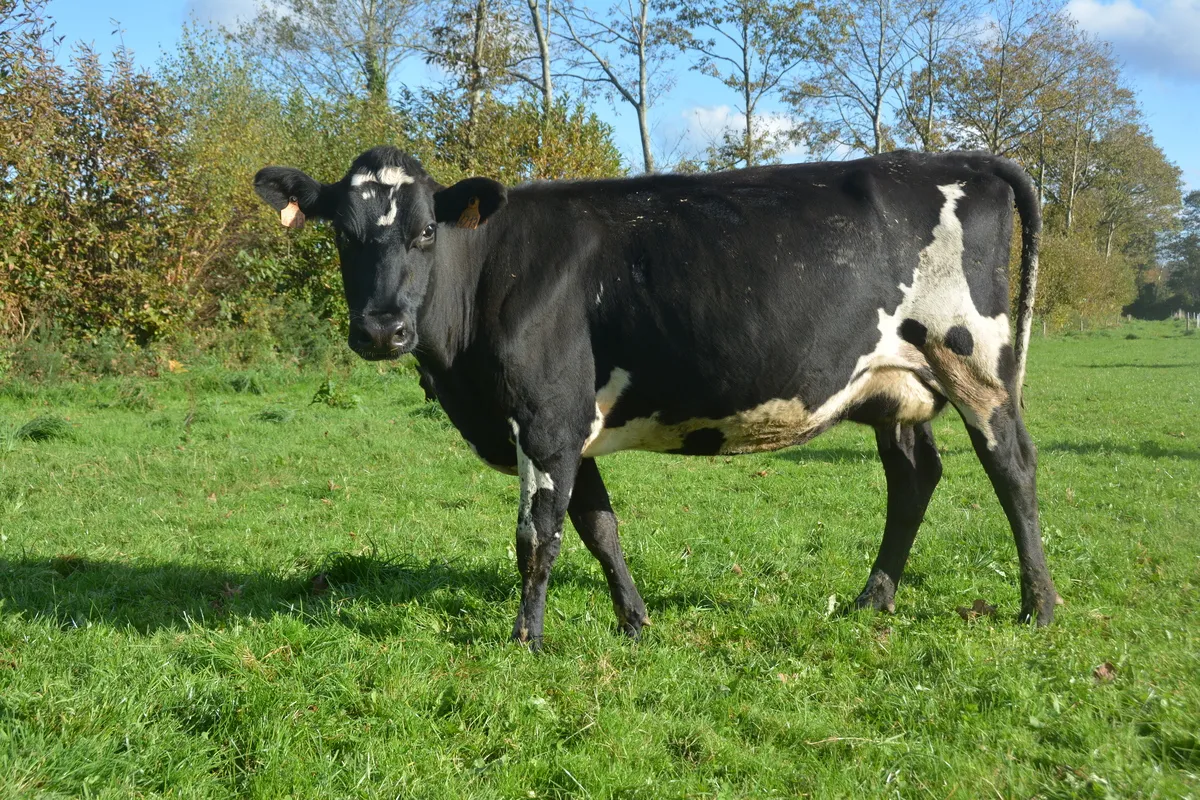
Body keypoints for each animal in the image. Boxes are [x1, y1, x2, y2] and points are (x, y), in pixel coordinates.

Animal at [254, 146, 1057, 646]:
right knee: (914, 477)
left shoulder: (544, 417)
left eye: (425, 231)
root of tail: (959, 158)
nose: (381, 329)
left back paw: (1038, 605)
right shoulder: (571, 425)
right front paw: (634, 622)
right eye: (341, 234)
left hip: (973, 358)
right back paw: (872, 599)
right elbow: (598, 527)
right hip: (895, 385)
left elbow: (536, 536)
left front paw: (526, 639)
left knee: (1012, 466)